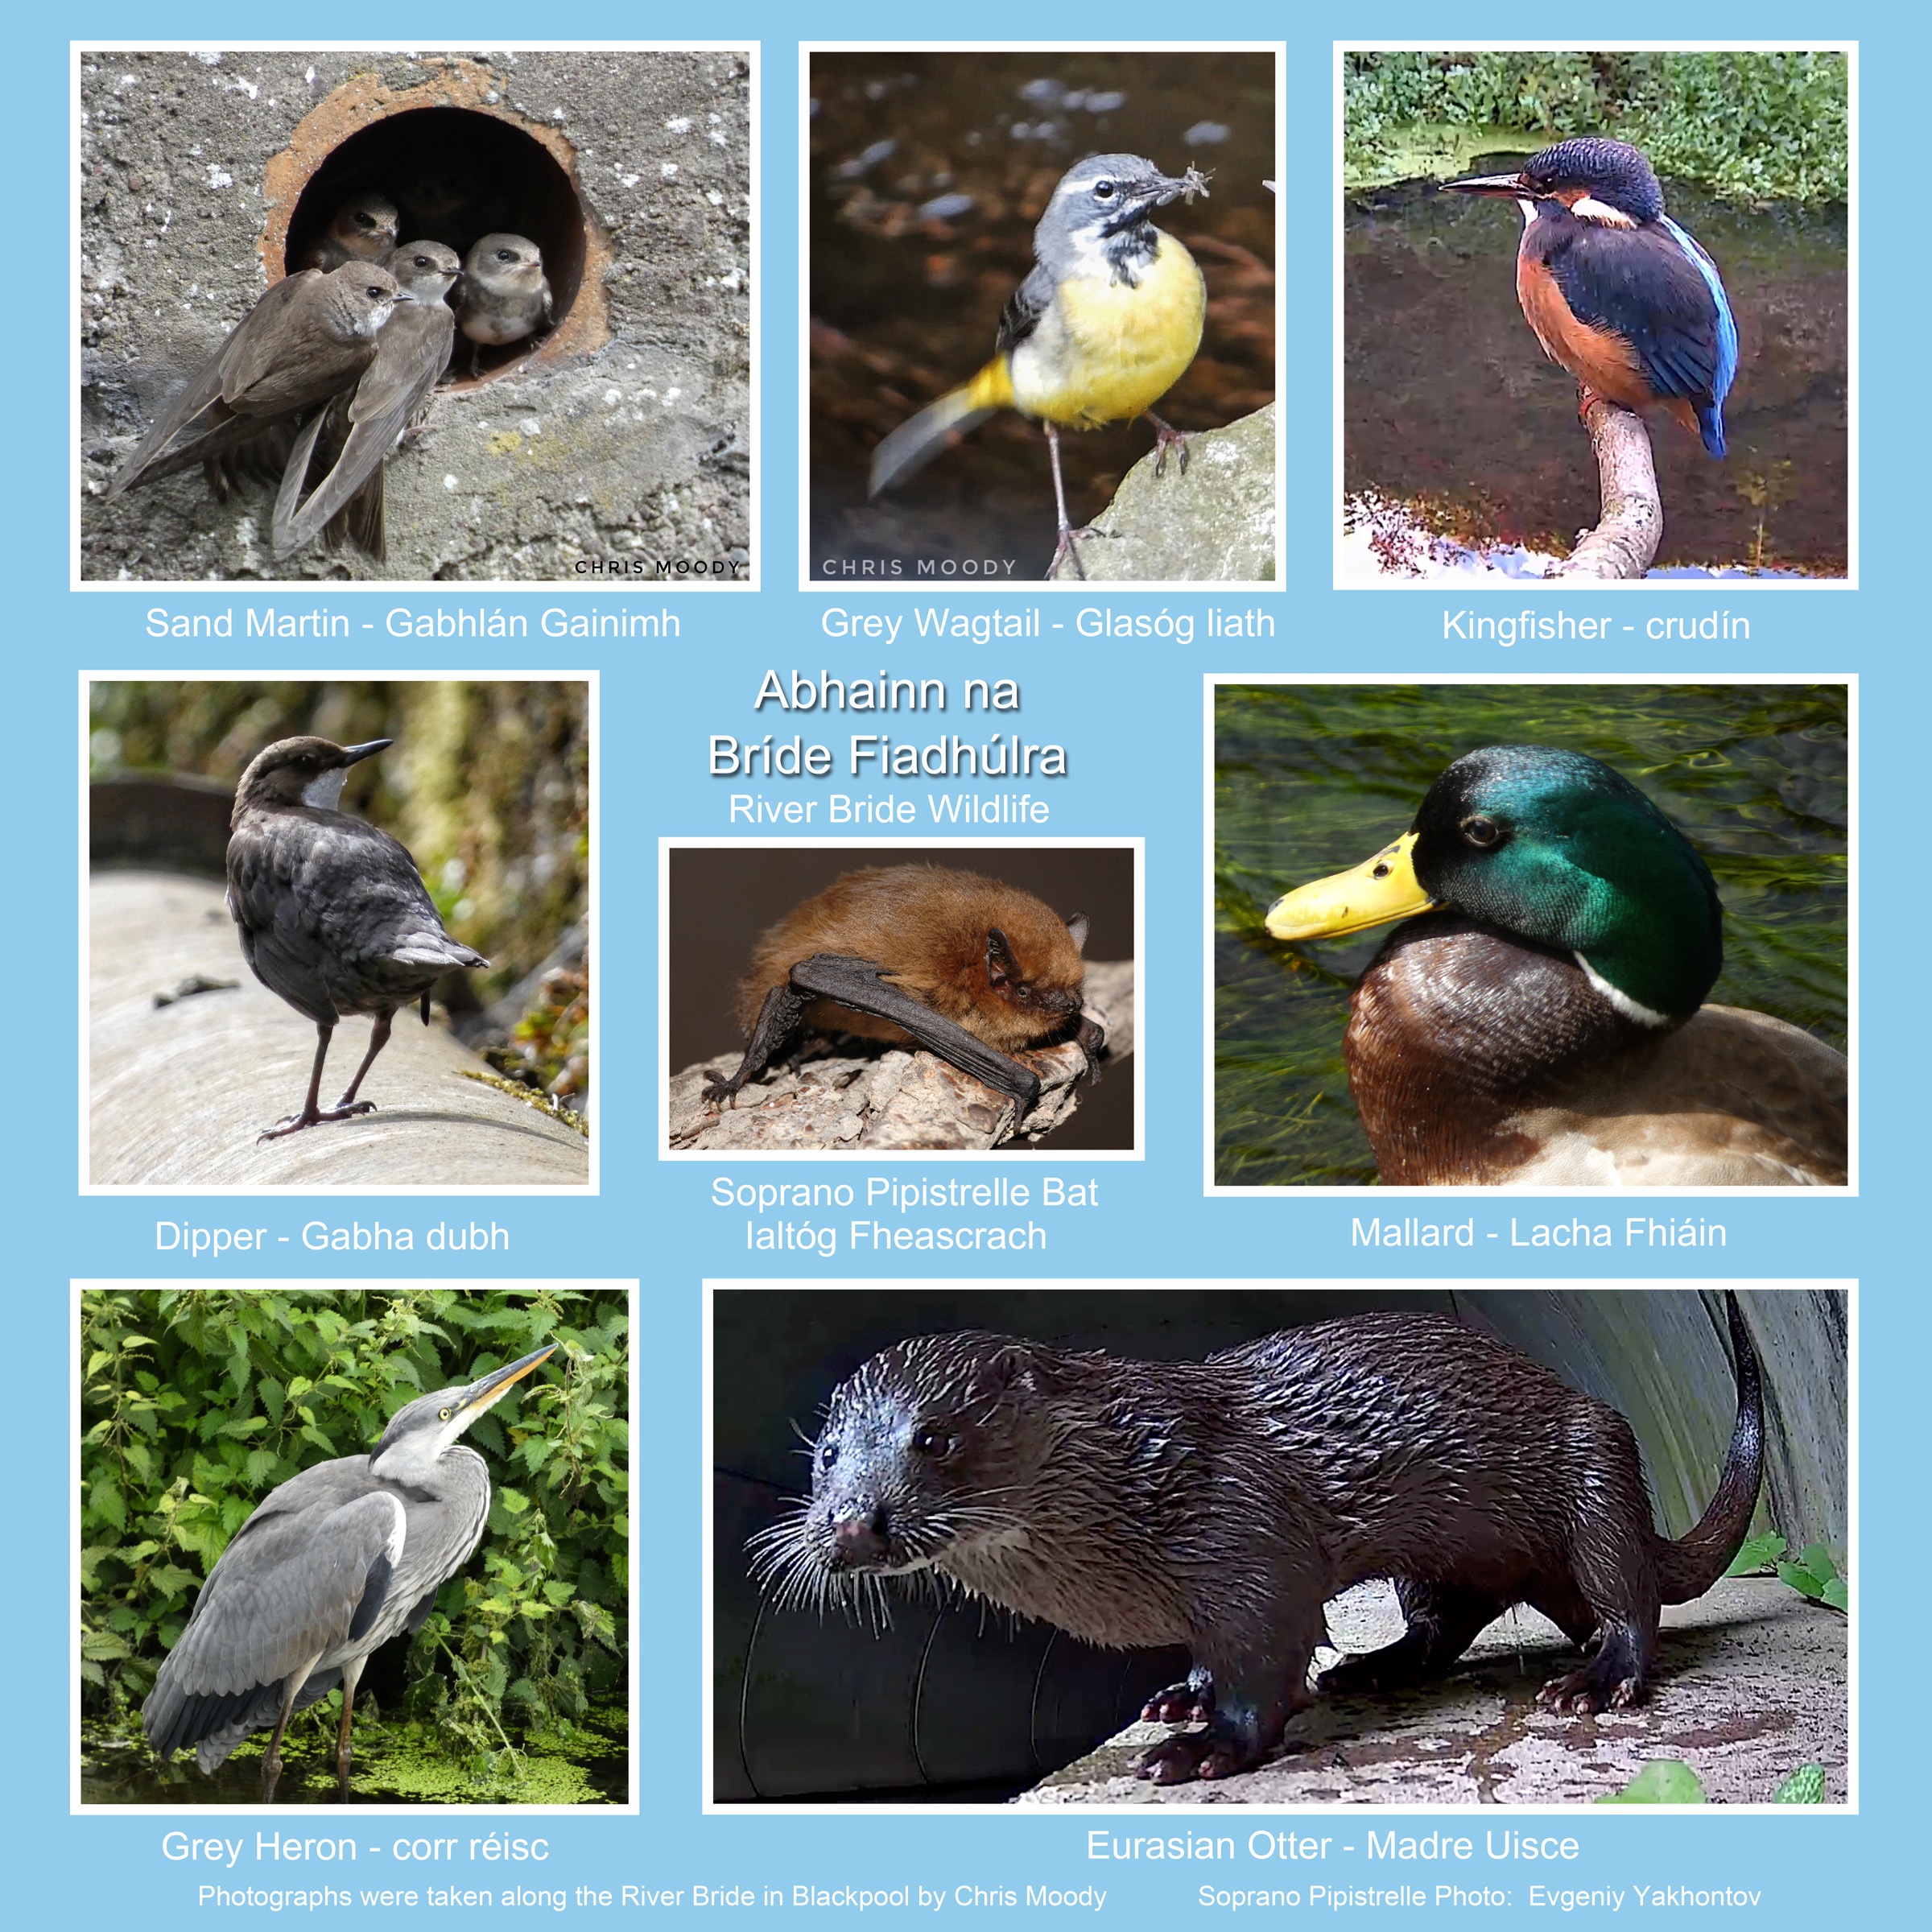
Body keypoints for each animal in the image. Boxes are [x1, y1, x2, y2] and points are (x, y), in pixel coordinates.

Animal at [751, 1296, 1763, 1785]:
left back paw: (1594, 1680)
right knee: (1453, 1617)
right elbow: (1211, 1659)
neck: (1134, 1478)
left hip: (1594, 1459)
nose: (850, 1522)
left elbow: (1263, 1663)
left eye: (934, 1438)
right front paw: (1178, 1697)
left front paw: (1203, 1749)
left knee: (1626, 1594)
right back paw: (1377, 1668)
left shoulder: (1246, 1543)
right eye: (827, 1454)